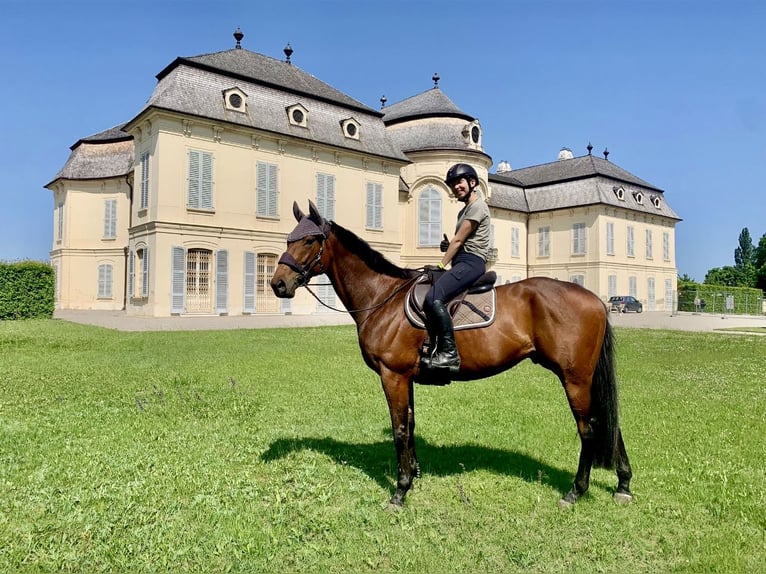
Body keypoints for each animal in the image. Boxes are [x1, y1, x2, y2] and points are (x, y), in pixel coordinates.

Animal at [272, 201, 632, 508]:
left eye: (309, 241)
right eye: (289, 239)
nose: (278, 284)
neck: (383, 297)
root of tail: (595, 299)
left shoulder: (393, 375)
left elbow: (399, 429)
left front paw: (400, 492)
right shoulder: (406, 377)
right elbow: (410, 424)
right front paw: (414, 476)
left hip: (575, 378)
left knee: (589, 429)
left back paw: (576, 491)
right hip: (585, 378)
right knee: (610, 424)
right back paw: (623, 485)